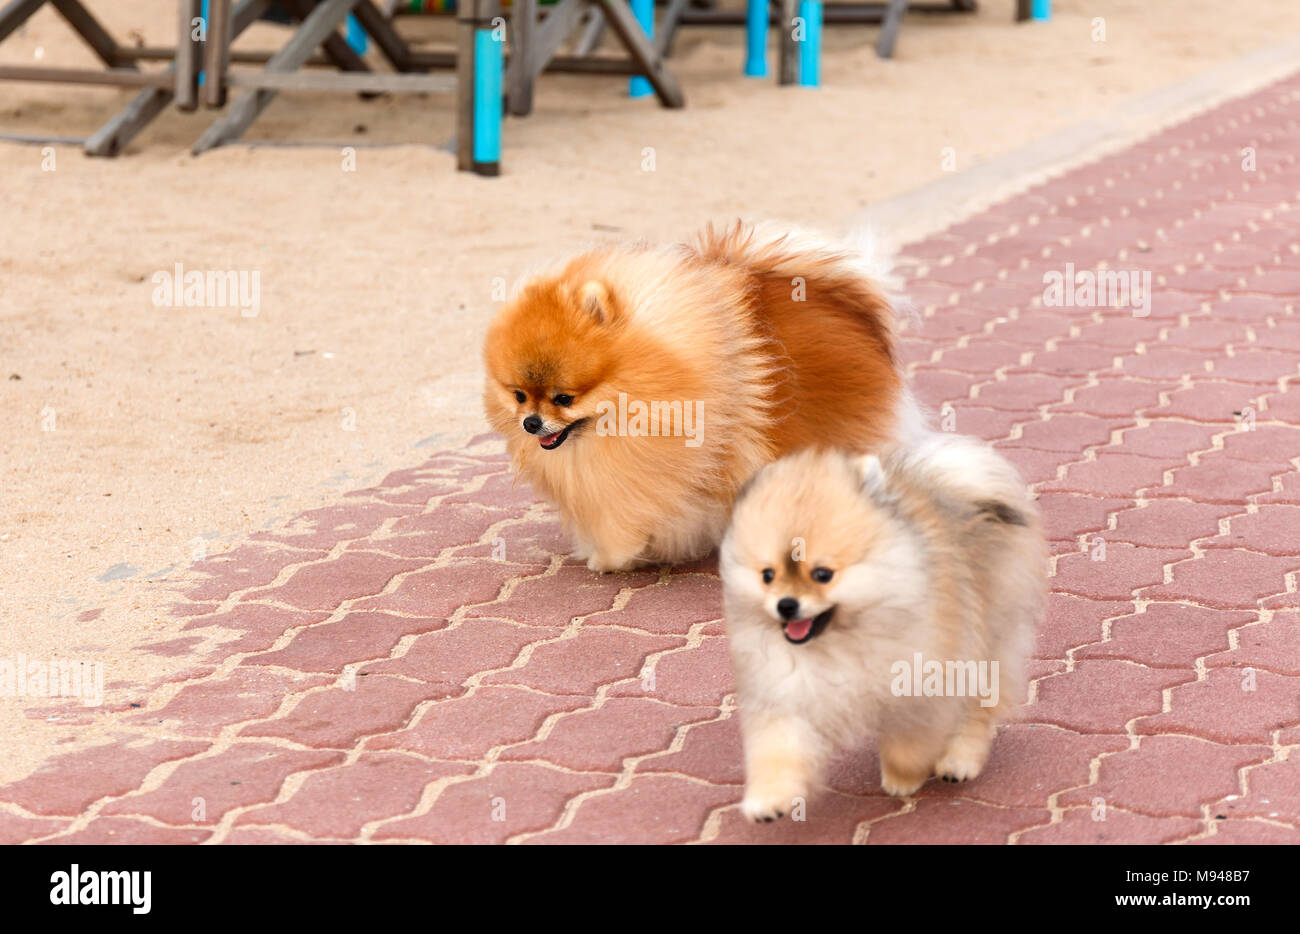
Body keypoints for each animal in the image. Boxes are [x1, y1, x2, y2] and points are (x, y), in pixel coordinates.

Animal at [722, 434, 1045, 822]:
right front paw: (769, 801)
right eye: (767, 575)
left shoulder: (920, 684)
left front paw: (902, 778)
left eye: (822, 574)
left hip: (987, 635)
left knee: (977, 707)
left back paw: (959, 761)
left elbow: (909, 744)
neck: (839, 640)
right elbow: (779, 748)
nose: (786, 605)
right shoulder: (787, 690)